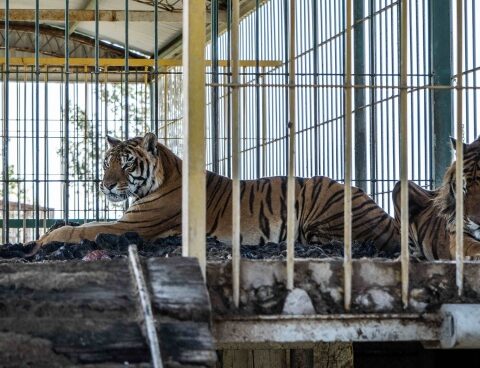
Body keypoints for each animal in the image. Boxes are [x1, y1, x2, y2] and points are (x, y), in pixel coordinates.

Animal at [34, 131, 402, 252]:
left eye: (125, 164)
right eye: (106, 162)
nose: (106, 184)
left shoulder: (133, 225)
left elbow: (82, 229)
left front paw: (43, 239)